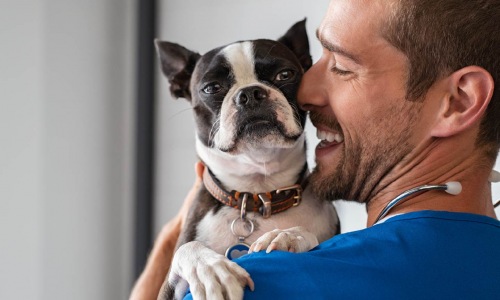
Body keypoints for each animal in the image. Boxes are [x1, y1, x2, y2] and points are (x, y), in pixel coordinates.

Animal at [155, 19, 340, 298]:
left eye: (285, 75)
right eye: (212, 88)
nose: (250, 93)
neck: (257, 192)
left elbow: (307, 235)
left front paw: (287, 236)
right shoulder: (167, 290)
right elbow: (188, 248)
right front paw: (210, 270)